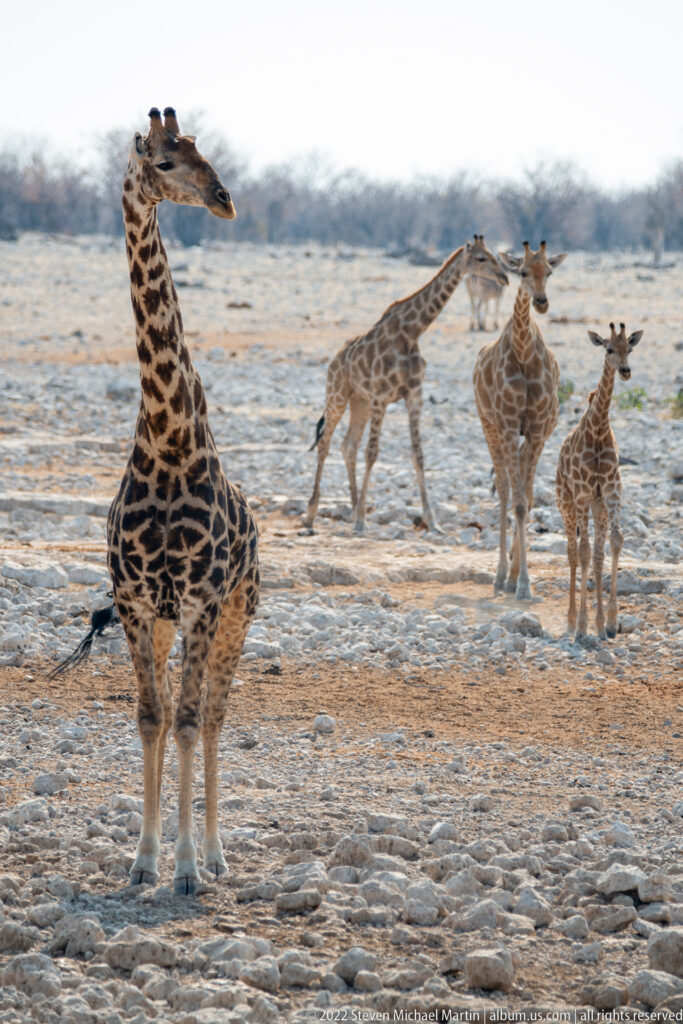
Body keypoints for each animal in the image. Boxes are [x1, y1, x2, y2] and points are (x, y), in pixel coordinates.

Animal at [302, 235, 509, 533]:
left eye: (494, 255)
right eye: (481, 258)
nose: (504, 277)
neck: (412, 332)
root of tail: (334, 359)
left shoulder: (413, 396)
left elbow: (418, 455)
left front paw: (432, 520)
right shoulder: (381, 396)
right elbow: (373, 452)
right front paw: (362, 520)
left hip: (359, 401)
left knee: (348, 445)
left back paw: (352, 508)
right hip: (337, 395)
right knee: (326, 444)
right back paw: (311, 514)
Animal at [473, 241, 566, 599]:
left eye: (549, 271)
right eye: (522, 271)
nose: (541, 302)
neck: (525, 353)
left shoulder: (538, 430)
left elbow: (527, 500)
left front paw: (523, 581)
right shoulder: (510, 426)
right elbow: (516, 501)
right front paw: (519, 581)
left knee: (518, 490)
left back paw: (510, 575)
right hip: (490, 427)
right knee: (503, 491)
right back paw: (501, 576)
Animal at [556, 322, 643, 641]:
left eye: (629, 348)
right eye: (608, 349)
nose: (626, 371)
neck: (598, 428)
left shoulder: (610, 491)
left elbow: (614, 543)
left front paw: (611, 621)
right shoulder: (582, 494)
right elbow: (581, 553)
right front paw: (581, 626)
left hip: (598, 507)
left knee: (596, 554)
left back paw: (599, 621)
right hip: (566, 503)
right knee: (572, 552)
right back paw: (571, 622)